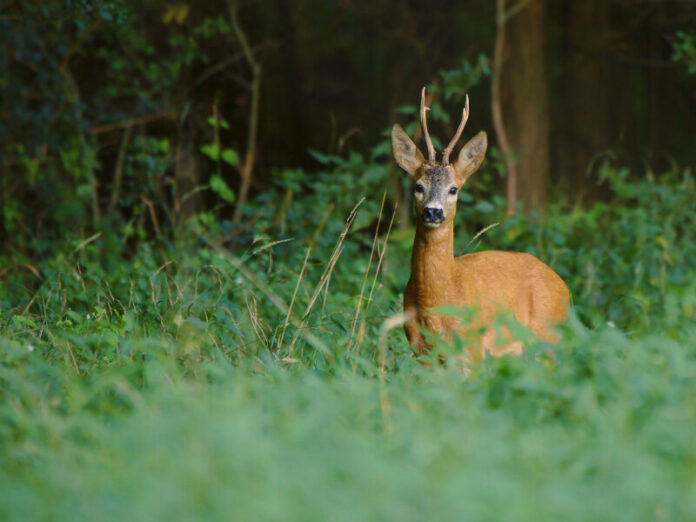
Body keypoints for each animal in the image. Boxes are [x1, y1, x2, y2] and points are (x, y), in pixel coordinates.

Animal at [391, 88, 570, 363]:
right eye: (418, 187)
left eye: (453, 189)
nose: (433, 211)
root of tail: (565, 288)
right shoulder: (419, 351)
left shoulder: (471, 349)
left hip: (548, 339)